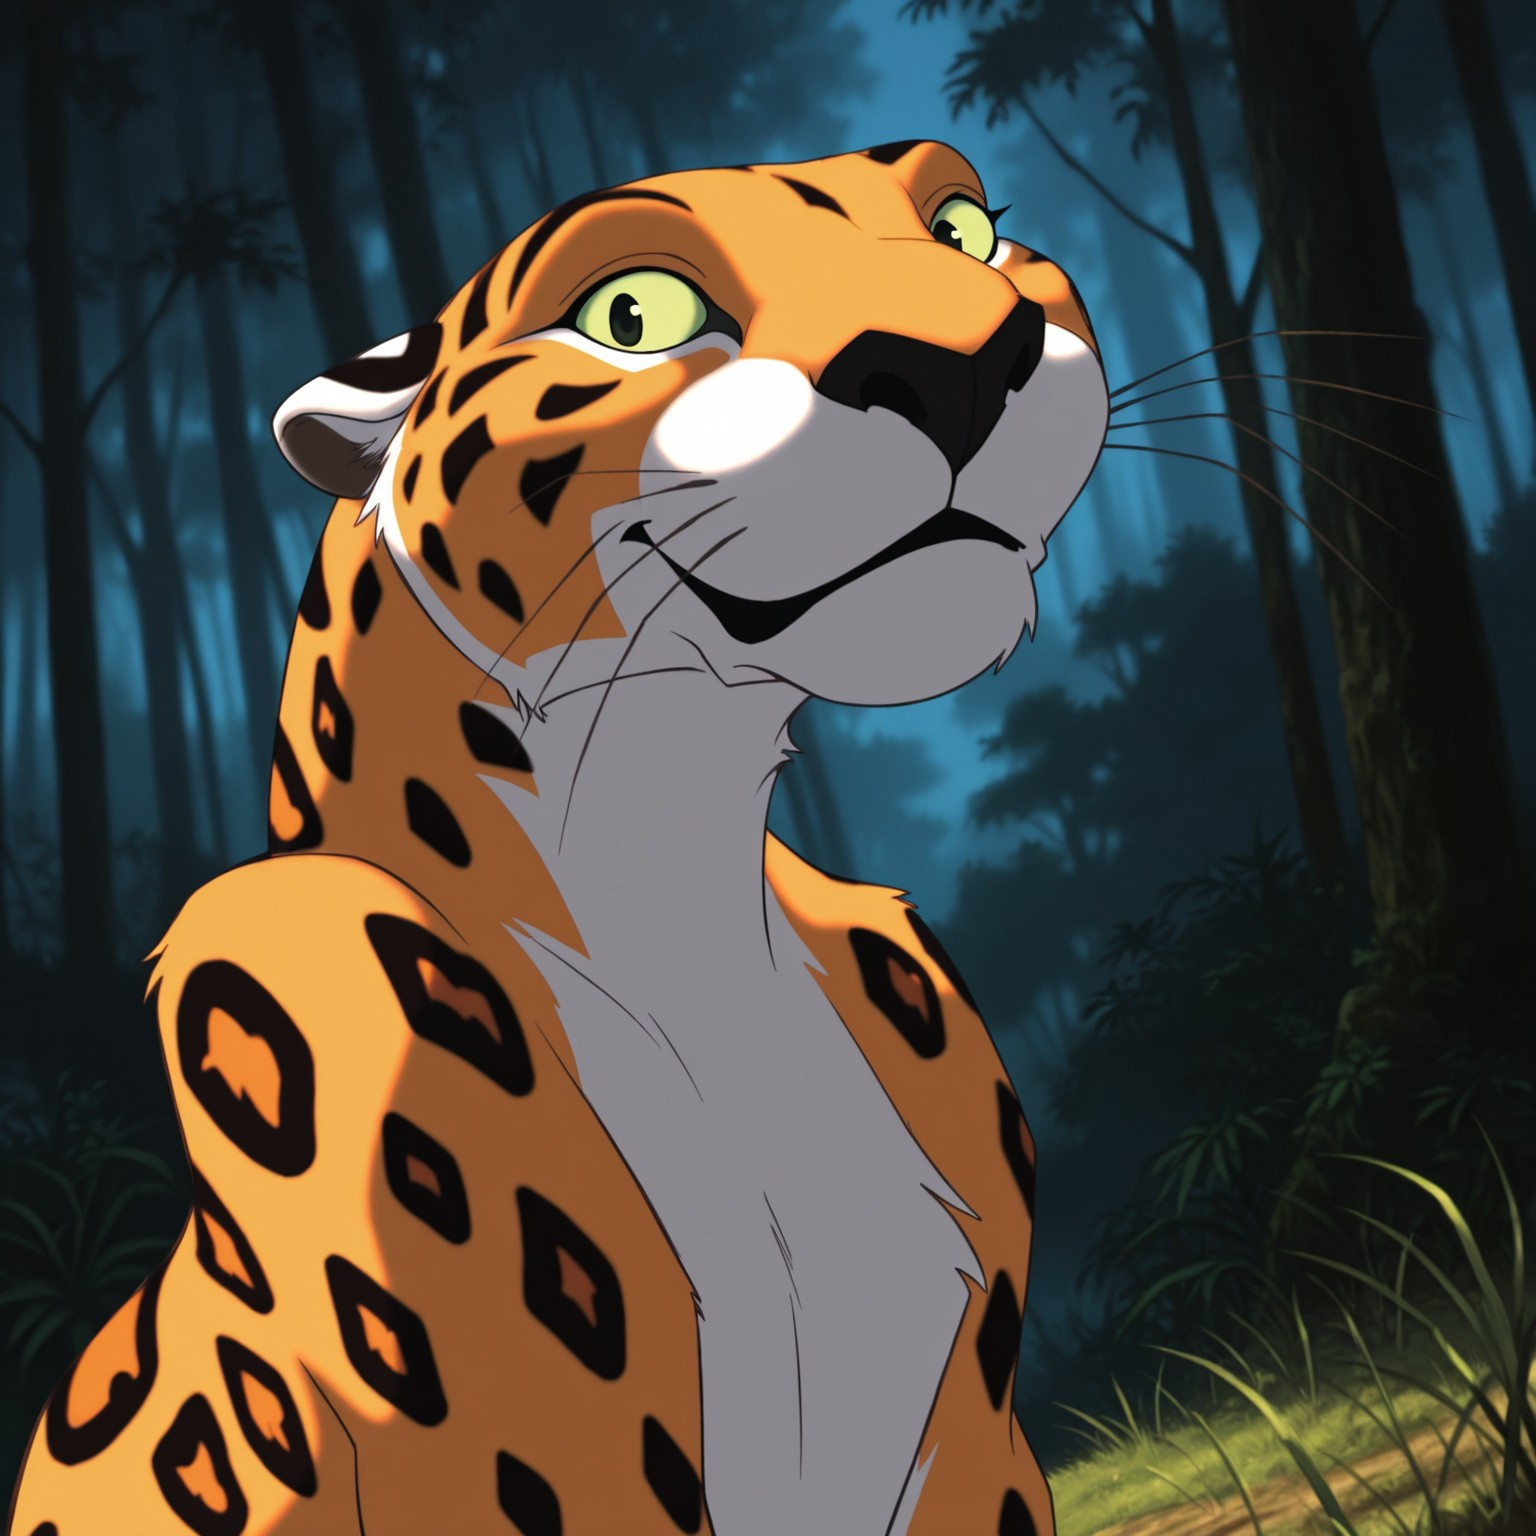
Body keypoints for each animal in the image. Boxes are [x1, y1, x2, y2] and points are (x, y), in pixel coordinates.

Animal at [7, 138, 1106, 1535]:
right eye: (634, 314)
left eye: (964, 228)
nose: (961, 359)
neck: (677, 885)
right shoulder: (525, 1461)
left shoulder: (975, 1446)